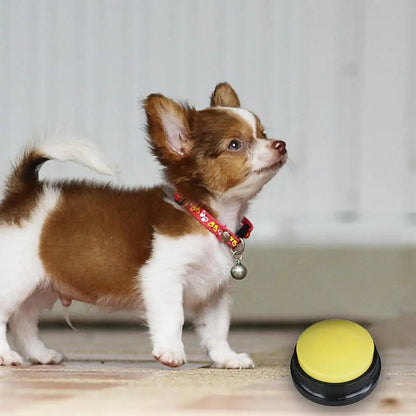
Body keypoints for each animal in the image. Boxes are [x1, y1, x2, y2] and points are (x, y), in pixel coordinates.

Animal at [0, 83, 286, 368]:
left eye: (263, 133)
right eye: (235, 144)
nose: (281, 144)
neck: (207, 218)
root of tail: (23, 193)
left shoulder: (215, 294)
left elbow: (217, 330)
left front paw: (227, 358)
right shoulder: (163, 277)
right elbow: (174, 317)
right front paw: (170, 352)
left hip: (40, 287)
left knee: (23, 319)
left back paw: (40, 354)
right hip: (17, 278)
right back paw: (6, 355)